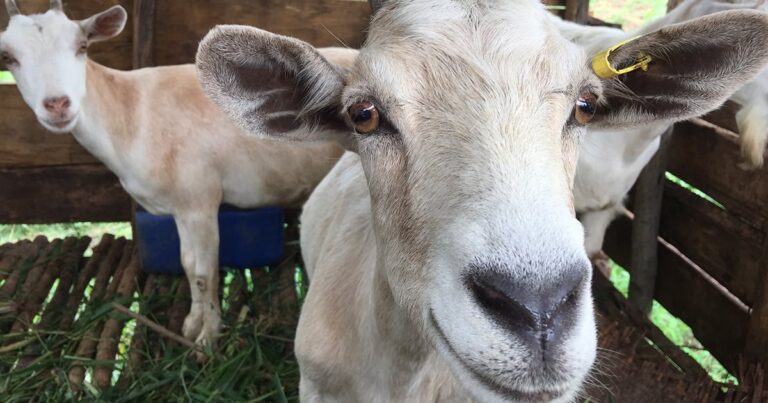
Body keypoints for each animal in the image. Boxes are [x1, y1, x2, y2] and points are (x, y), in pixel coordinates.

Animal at [0, 0, 352, 347]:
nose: (58, 104)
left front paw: (208, 336)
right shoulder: (180, 208)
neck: (129, 114)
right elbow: (187, 264)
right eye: (8, 58)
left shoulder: (199, 200)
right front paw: (192, 324)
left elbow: (204, 271)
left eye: (82, 46)